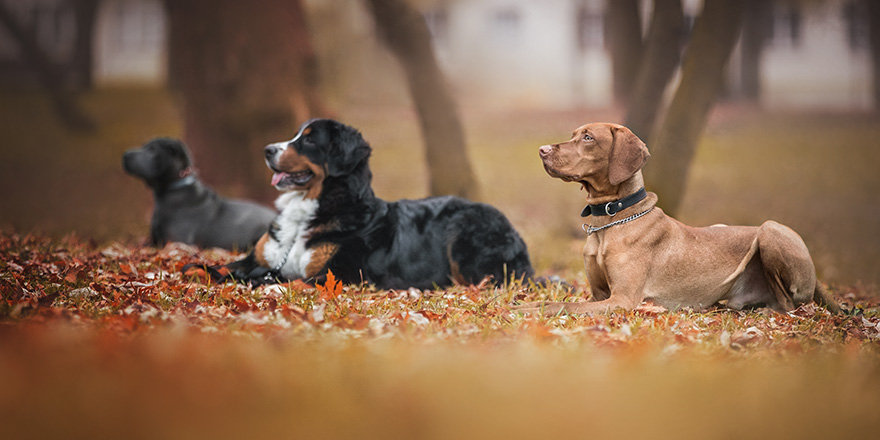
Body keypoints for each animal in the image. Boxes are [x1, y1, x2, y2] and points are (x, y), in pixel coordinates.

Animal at [209, 117, 532, 288]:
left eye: (309, 140)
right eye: (297, 135)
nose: (267, 150)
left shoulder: (337, 274)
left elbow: (278, 279)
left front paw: (254, 281)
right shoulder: (258, 258)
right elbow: (211, 268)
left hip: (465, 232)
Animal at [516, 124, 840, 314]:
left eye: (588, 138)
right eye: (574, 135)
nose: (542, 150)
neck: (609, 221)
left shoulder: (622, 299)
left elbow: (557, 306)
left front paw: (520, 312)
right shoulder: (599, 295)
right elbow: (552, 301)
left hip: (770, 229)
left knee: (788, 304)